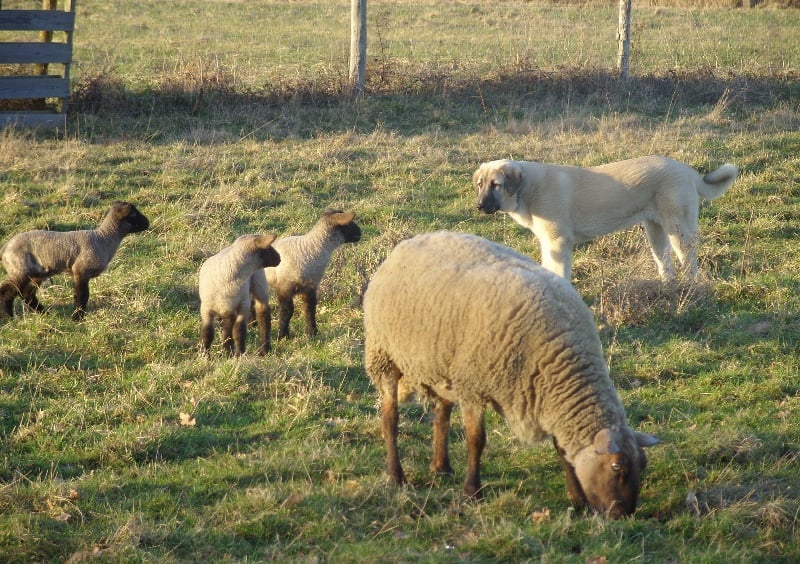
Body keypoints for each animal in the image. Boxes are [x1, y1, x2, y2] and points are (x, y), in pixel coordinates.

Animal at [0, 202, 150, 322]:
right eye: (133, 213)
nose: (148, 223)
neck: (104, 238)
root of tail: (5, 248)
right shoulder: (80, 271)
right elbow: (81, 296)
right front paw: (77, 318)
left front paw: (77, 317)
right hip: (20, 270)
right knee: (7, 291)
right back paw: (8, 317)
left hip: (37, 273)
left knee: (27, 294)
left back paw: (45, 314)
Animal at [264, 208, 360, 338]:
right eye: (348, 224)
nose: (360, 232)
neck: (310, 248)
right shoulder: (285, 287)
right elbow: (286, 311)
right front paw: (283, 335)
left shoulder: (310, 287)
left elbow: (310, 310)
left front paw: (312, 333)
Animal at [362, 230, 656, 520]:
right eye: (616, 467)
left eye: (642, 465)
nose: (623, 514)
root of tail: (411, 241)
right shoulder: (473, 386)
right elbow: (476, 440)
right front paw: (472, 492)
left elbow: (561, 449)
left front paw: (577, 498)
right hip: (384, 355)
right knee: (390, 419)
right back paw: (396, 476)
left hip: (443, 366)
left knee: (441, 414)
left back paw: (441, 466)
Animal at [472, 155, 740, 280]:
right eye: (480, 184)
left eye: (496, 185)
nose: (479, 206)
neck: (527, 188)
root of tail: (686, 169)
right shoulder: (549, 244)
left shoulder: (557, 242)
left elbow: (558, 271)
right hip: (655, 232)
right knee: (665, 264)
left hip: (678, 230)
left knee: (690, 262)